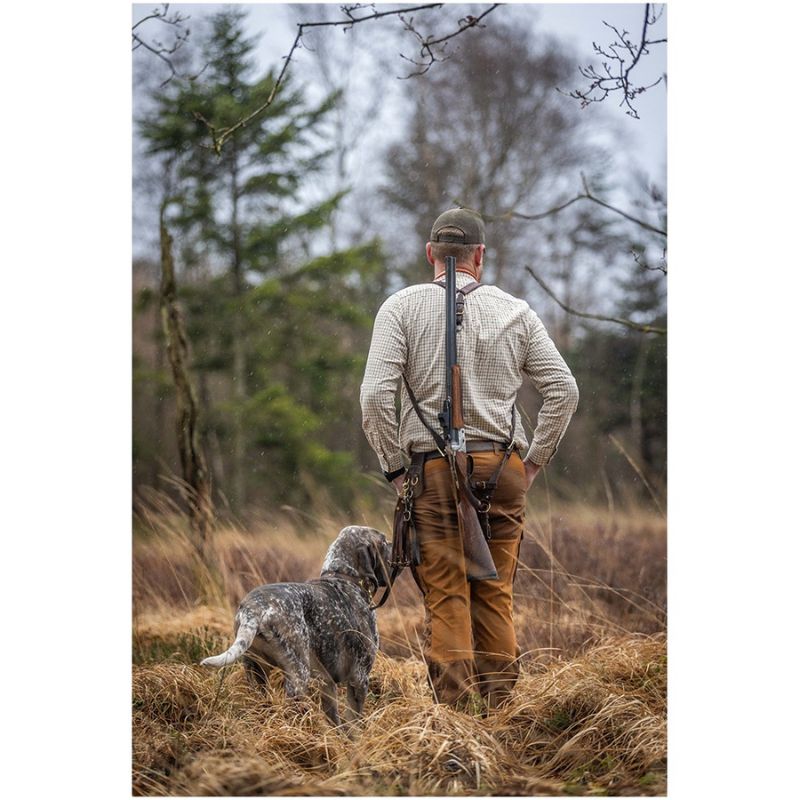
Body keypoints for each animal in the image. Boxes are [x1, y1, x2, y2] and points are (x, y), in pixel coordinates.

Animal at [198, 524, 390, 724]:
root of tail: (254, 609)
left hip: (256, 673)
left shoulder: (327, 683)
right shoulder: (359, 679)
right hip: (298, 675)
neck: (344, 577)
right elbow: (354, 723)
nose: (394, 546)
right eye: (385, 541)